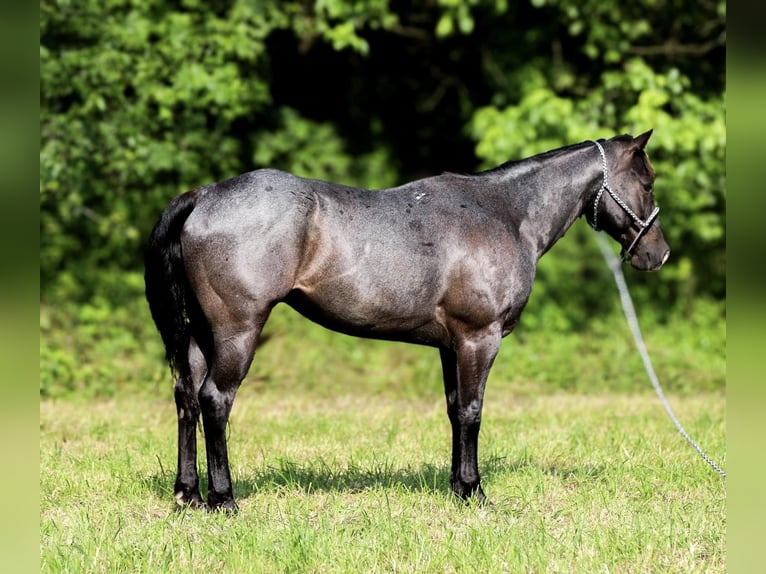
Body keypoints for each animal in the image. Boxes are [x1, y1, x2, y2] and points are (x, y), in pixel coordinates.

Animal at [144, 130, 669, 511]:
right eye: (647, 183)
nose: (657, 254)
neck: (504, 213)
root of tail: (206, 195)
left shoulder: (450, 345)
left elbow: (455, 410)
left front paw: (457, 488)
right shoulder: (479, 339)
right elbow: (473, 411)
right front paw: (475, 492)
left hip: (201, 335)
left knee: (186, 399)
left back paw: (188, 494)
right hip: (236, 333)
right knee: (215, 400)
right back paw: (223, 499)